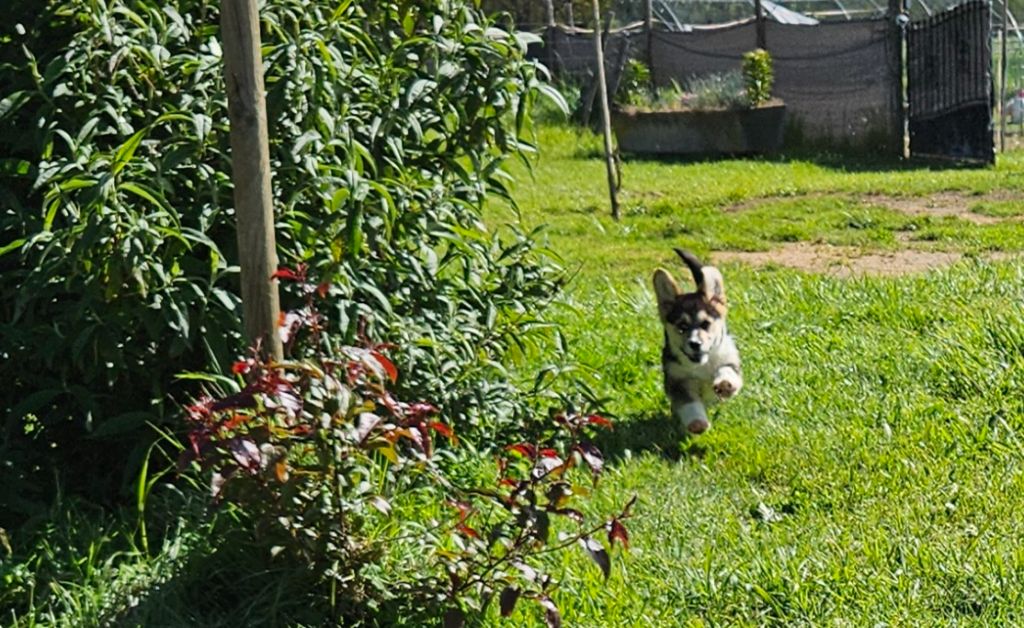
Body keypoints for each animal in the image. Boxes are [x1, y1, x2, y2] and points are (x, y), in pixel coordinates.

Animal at [653, 249, 742, 434]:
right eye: (682, 326)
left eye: (705, 324)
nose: (695, 344)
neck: (702, 365)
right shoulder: (678, 381)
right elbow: (689, 403)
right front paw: (697, 422)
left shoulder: (730, 361)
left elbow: (726, 371)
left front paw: (725, 384)